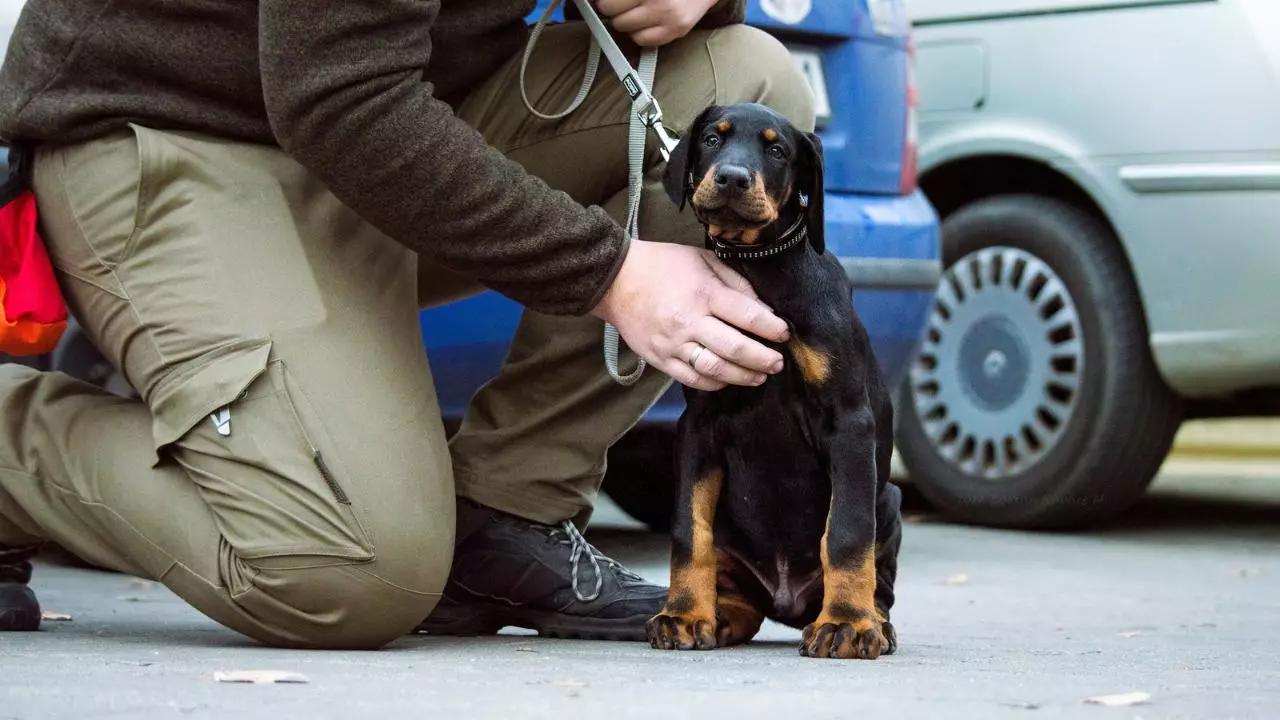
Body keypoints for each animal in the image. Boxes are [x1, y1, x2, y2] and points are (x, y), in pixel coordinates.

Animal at [645, 101, 906, 655]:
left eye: (778, 150)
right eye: (713, 139)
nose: (731, 178)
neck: (758, 271)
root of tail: (786, 600)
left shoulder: (849, 422)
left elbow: (847, 533)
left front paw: (846, 624)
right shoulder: (697, 426)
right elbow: (688, 531)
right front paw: (683, 614)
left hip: (890, 501)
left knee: (880, 578)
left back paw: (870, 621)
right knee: (740, 594)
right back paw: (719, 616)